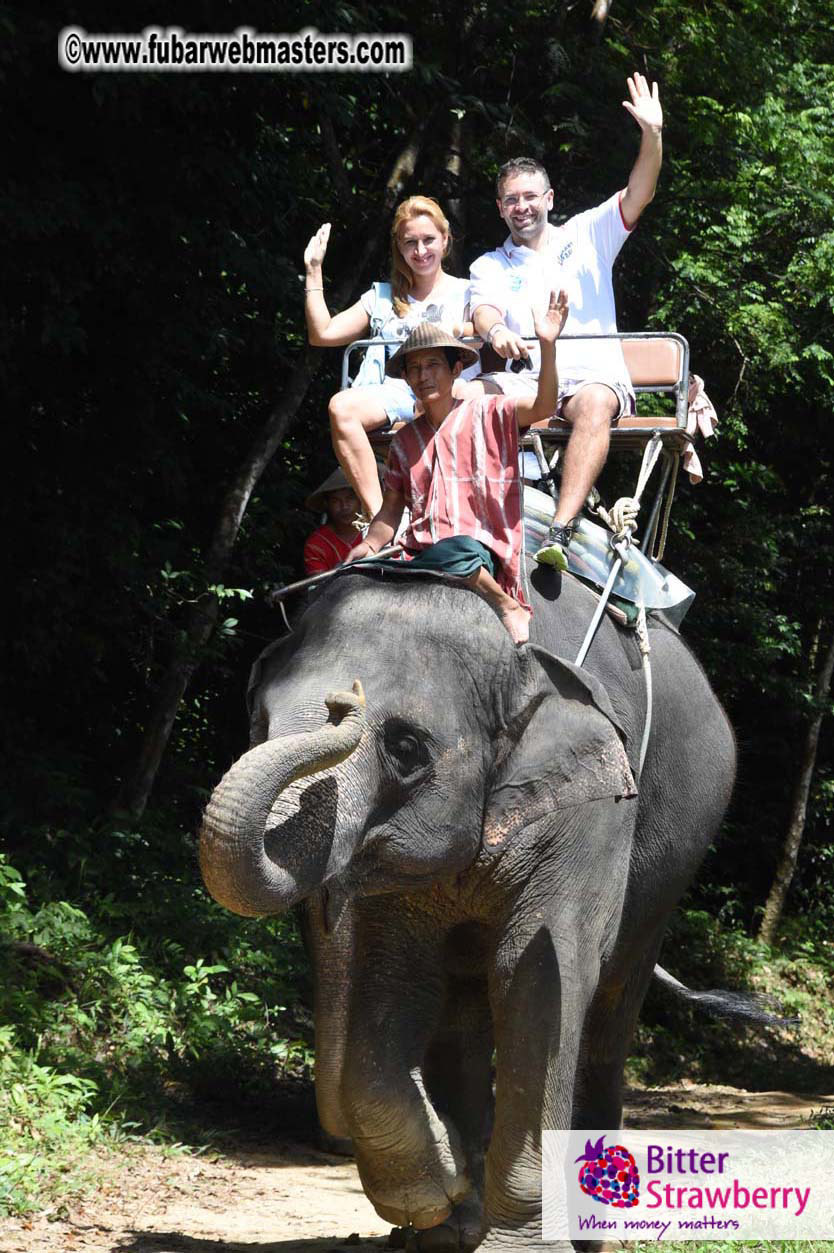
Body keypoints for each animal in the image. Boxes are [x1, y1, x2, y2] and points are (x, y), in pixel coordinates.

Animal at [199, 560, 735, 1252]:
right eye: (258, 723)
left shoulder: (593, 812)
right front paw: (437, 1193)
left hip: (674, 866)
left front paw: (521, 1244)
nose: (345, 702)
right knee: (461, 1007)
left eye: (406, 748)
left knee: (609, 1014)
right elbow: (396, 978)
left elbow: (538, 979)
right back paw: (453, 1224)